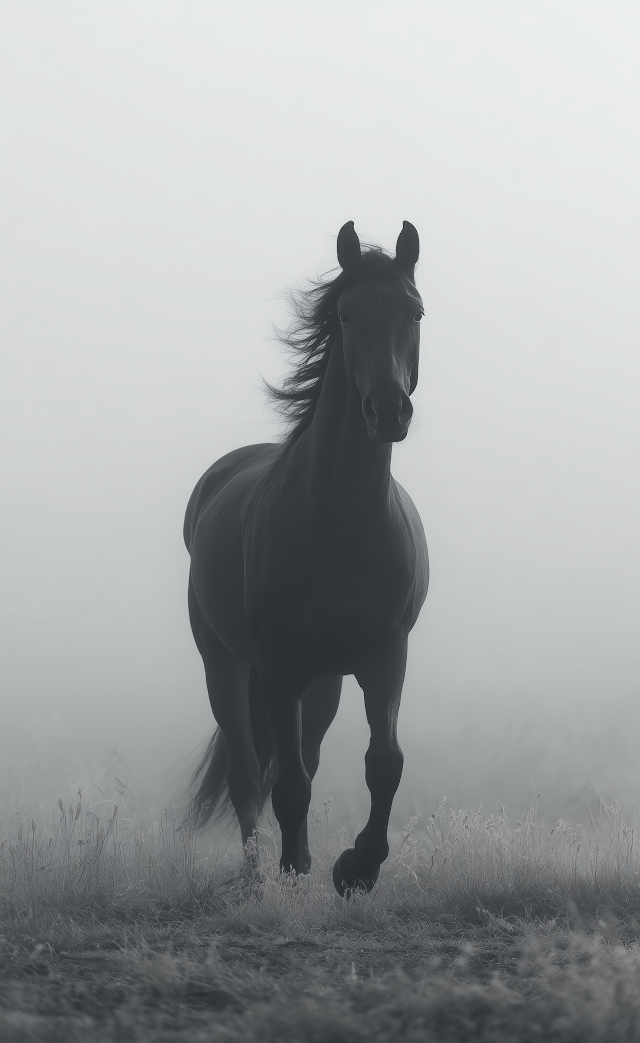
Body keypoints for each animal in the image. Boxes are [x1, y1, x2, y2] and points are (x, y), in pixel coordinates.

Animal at [184, 221, 428, 896]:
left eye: (415, 312)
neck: (341, 524)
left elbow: (385, 763)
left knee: (305, 757)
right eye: (346, 315)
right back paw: (256, 877)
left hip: (324, 680)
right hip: (227, 665)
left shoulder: (385, 656)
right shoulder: (277, 664)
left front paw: (356, 868)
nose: (389, 411)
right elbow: (286, 783)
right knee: (249, 773)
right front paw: (296, 871)